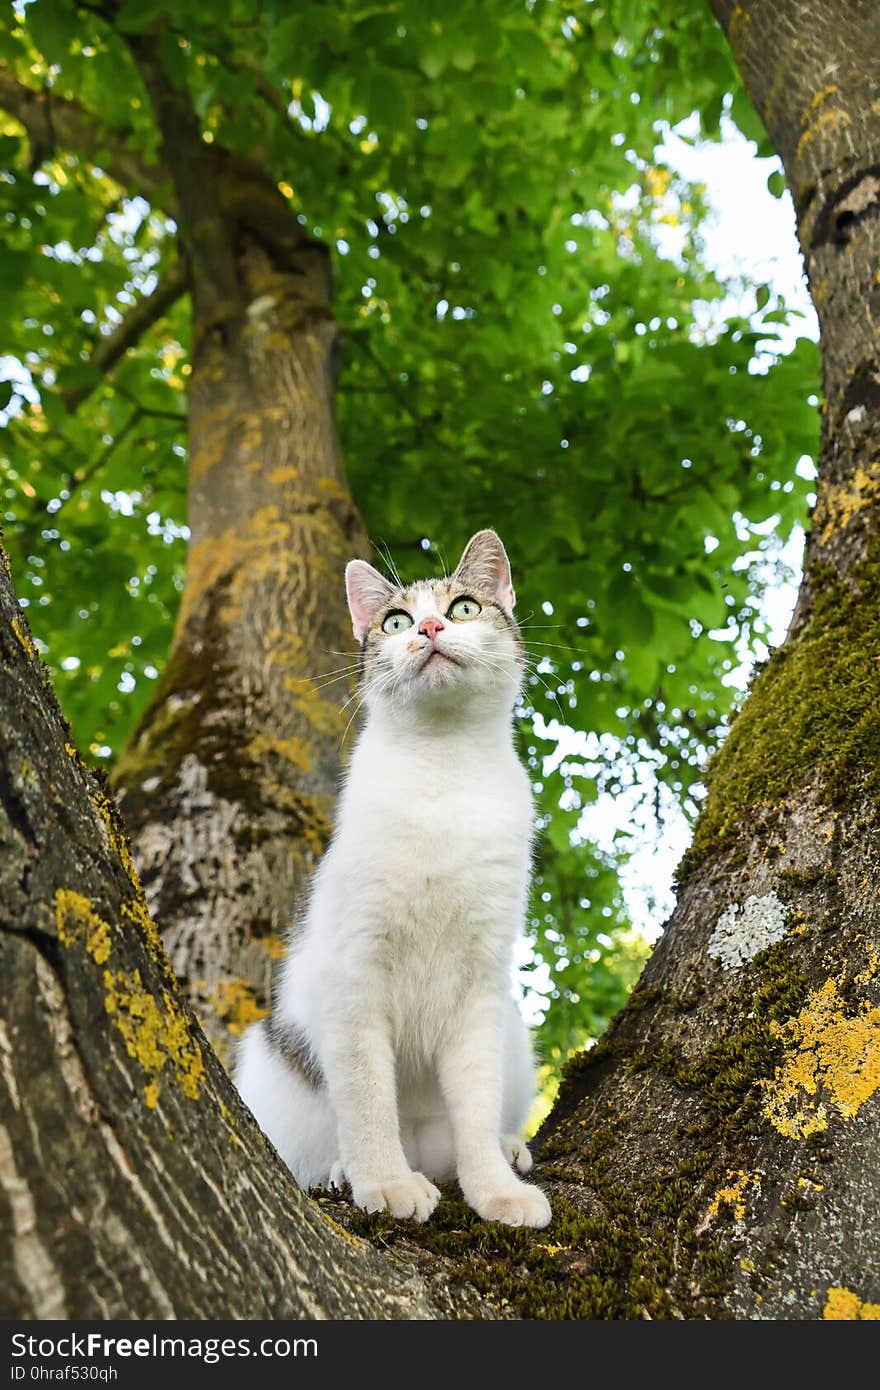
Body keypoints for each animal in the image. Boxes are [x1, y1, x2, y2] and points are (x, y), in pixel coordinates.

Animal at [233, 528, 550, 1228]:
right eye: (396, 621)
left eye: (463, 608)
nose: (429, 626)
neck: (444, 771)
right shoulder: (354, 971)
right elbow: (368, 1095)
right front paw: (384, 1183)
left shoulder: (481, 984)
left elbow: (476, 1103)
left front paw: (496, 1191)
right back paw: (345, 1170)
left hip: (514, 1030)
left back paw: (507, 1149)